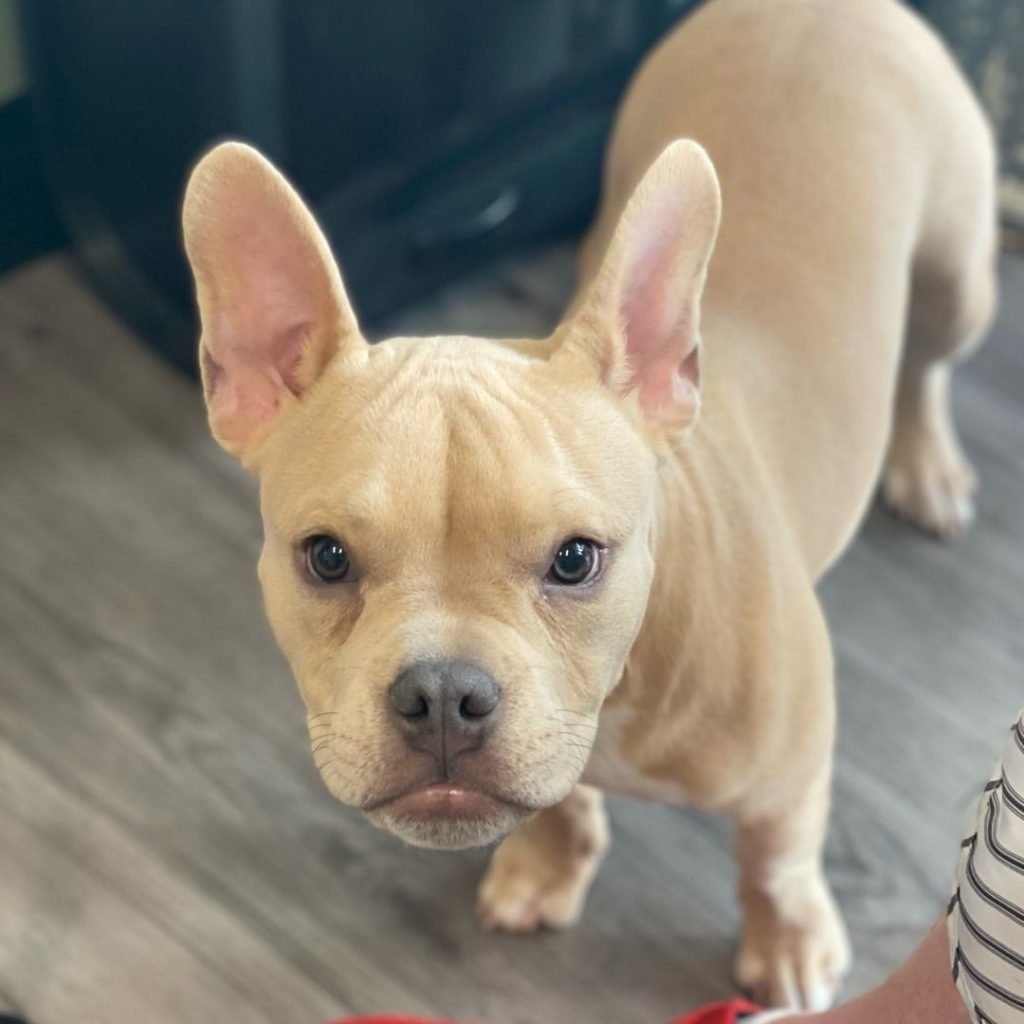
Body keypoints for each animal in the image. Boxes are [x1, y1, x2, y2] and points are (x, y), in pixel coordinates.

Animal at [180, 0, 995, 1007]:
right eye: (325, 557)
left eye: (575, 559)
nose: (442, 693)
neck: (624, 681)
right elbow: (559, 804)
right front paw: (548, 865)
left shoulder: (794, 766)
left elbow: (775, 857)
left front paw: (789, 943)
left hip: (959, 278)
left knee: (927, 362)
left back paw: (927, 463)